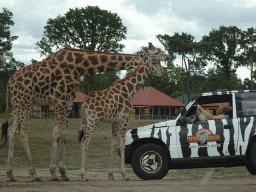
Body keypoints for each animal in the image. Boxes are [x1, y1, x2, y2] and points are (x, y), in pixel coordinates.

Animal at [2, 47, 142, 182]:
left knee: (11, 131)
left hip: (17, 104)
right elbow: (56, 133)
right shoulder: (60, 99)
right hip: (25, 102)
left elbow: (64, 135)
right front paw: (53, 173)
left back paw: (9, 174)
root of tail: (9, 83)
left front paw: (63, 173)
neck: (80, 65)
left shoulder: (69, 102)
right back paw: (34, 174)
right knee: (22, 132)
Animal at [78, 42, 170, 181]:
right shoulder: (124, 116)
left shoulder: (115, 121)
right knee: (85, 142)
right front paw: (124, 174)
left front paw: (110, 174)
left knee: (82, 141)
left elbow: (112, 145)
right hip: (93, 121)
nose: (169, 57)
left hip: (85, 121)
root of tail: (83, 104)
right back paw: (83, 175)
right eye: (157, 53)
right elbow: (121, 145)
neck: (129, 89)